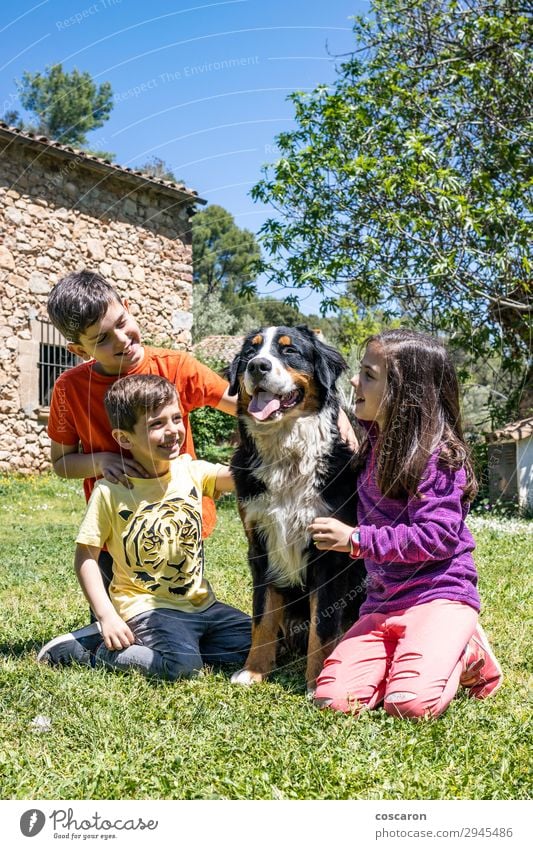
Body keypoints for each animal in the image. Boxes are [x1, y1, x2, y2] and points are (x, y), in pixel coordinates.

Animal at [227, 322, 368, 688]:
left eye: (289, 350)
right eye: (251, 351)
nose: (257, 366)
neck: (287, 456)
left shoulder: (329, 552)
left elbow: (323, 625)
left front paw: (316, 679)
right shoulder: (260, 545)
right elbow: (262, 617)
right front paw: (254, 669)